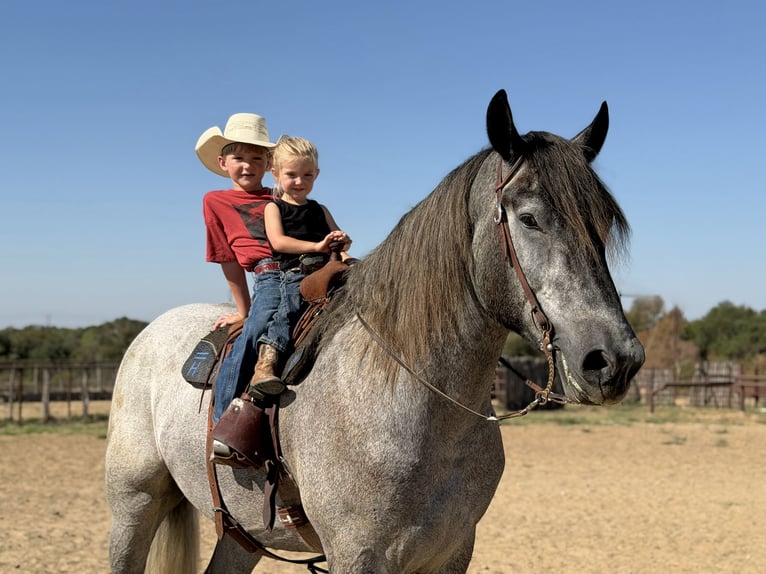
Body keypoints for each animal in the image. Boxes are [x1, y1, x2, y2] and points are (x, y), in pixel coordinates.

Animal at [105, 89, 645, 573]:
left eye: (602, 224)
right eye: (529, 218)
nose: (614, 361)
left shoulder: (453, 553)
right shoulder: (358, 556)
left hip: (244, 536)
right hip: (133, 507)